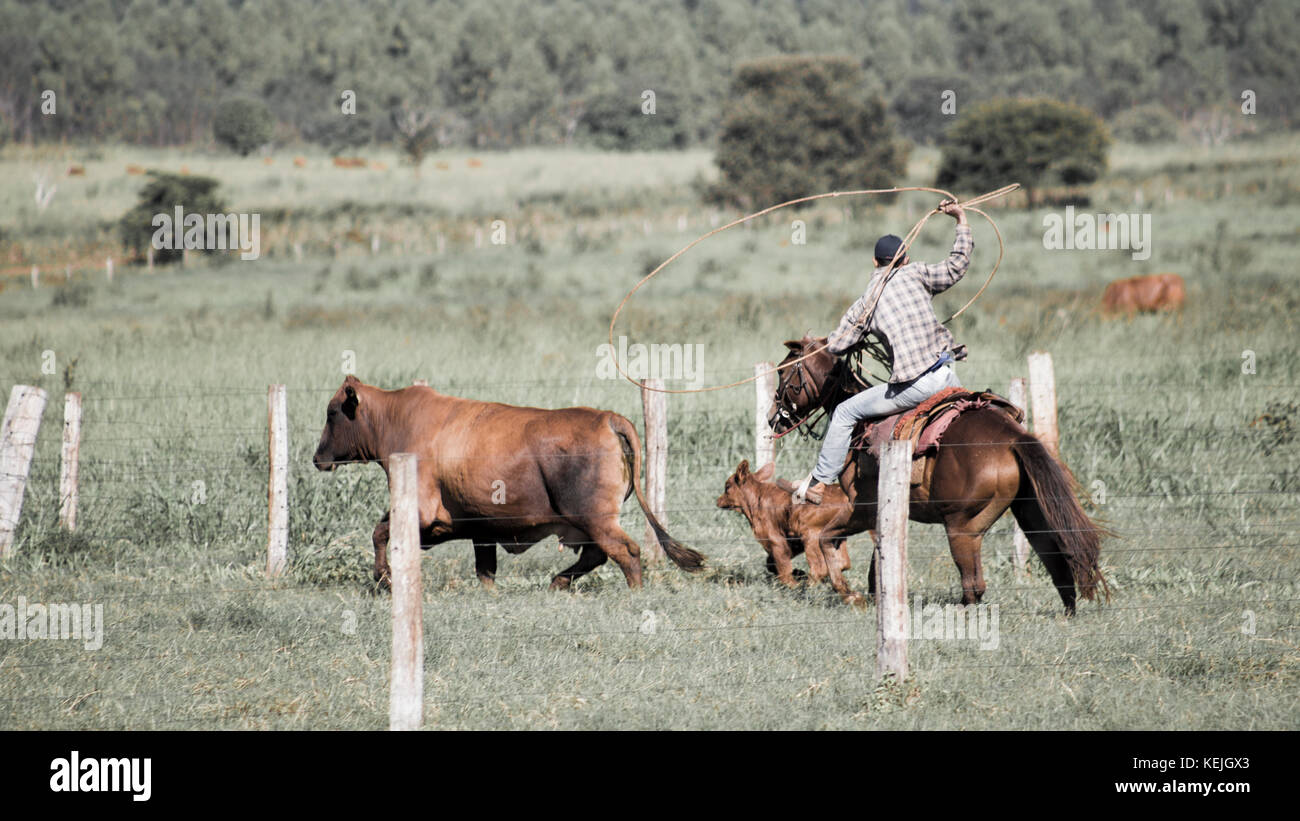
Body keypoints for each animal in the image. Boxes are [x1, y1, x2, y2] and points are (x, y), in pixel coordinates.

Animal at [310, 374, 707, 592]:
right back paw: (558, 583)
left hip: (596, 520)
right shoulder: (473, 528)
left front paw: (385, 579)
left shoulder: (419, 510)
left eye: (331, 412)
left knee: (626, 552)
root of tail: (607, 418)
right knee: (597, 554)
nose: (318, 458)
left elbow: (380, 533)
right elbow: (485, 569)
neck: (396, 418)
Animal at [717, 459, 868, 600]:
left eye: (727, 487)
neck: (756, 500)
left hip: (812, 534)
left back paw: (804, 589)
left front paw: (793, 583)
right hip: (837, 535)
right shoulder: (791, 540)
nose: (718, 501)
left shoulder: (775, 539)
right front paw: (798, 573)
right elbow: (771, 563)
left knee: (819, 567)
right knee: (842, 563)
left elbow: (782, 567)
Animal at [764, 337, 1112, 613]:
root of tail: (1013, 437)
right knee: (1052, 557)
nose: (772, 419)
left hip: (961, 528)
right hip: (1026, 513)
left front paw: (850, 594)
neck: (859, 427)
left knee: (974, 585)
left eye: (782, 371)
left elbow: (827, 539)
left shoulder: (862, 508)